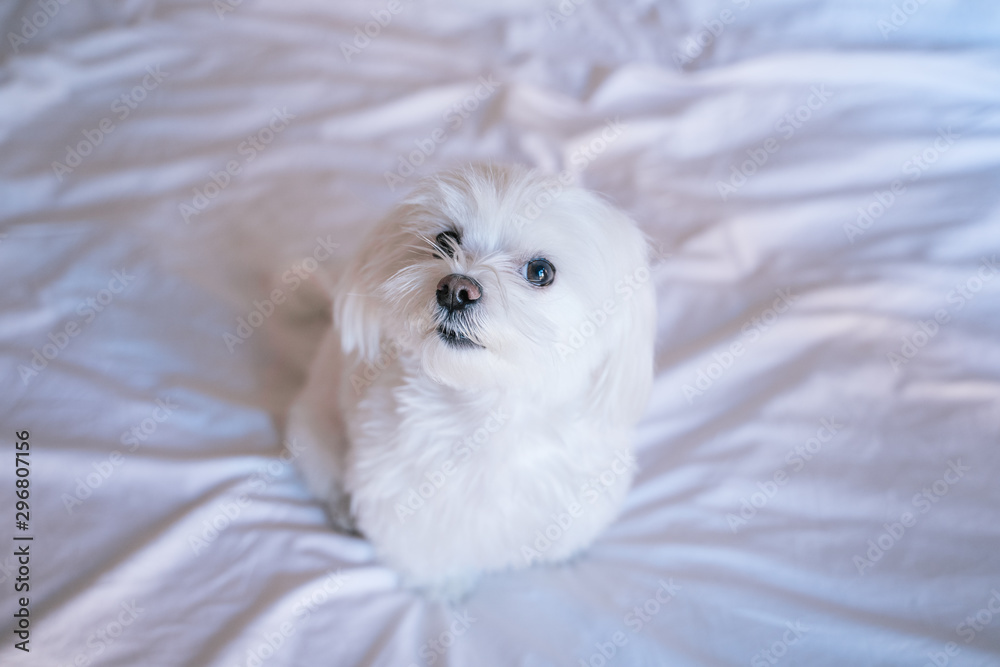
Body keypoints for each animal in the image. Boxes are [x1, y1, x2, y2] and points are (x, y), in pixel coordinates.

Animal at [288, 163, 656, 600]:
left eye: (540, 272)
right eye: (445, 240)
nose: (455, 289)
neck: (488, 413)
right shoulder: (403, 496)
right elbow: (425, 551)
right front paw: (445, 586)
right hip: (315, 431)